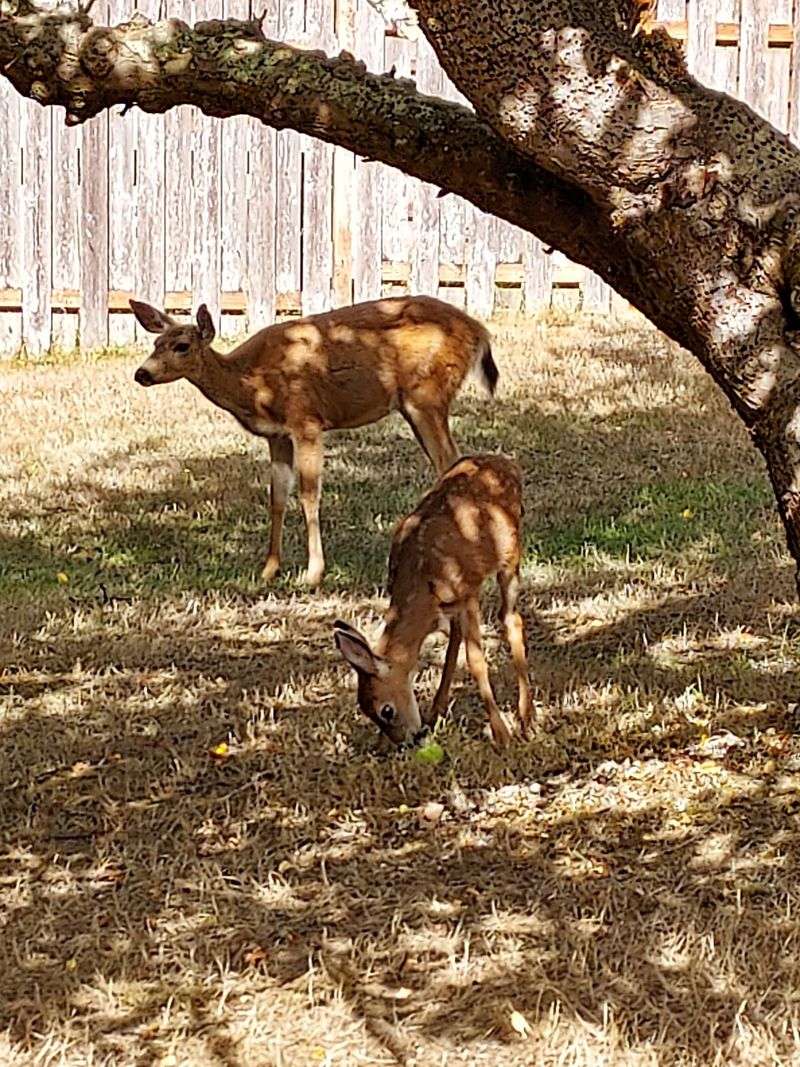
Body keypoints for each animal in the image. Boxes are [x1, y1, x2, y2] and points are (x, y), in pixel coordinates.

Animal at [130, 295, 499, 588]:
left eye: (182, 346)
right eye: (155, 344)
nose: (141, 373)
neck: (252, 384)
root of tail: (479, 331)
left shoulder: (306, 420)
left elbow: (309, 493)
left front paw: (313, 573)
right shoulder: (276, 435)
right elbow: (277, 496)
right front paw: (268, 569)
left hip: (427, 395)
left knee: (449, 460)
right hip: (416, 404)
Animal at [333, 453, 532, 747]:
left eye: (386, 710)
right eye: (366, 711)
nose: (407, 742)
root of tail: (507, 463)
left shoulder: (467, 593)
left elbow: (475, 660)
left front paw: (501, 734)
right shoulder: (448, 607)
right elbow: (453, 647)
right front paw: (434, 714)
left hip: (510, 556)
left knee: (511, 619)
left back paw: (526, 717)